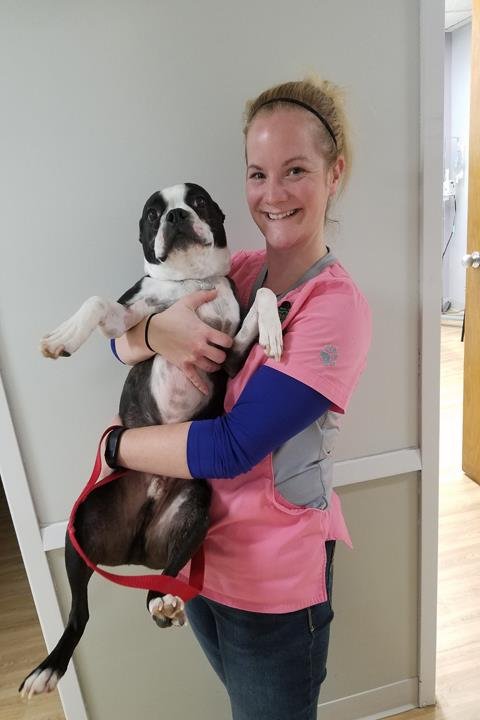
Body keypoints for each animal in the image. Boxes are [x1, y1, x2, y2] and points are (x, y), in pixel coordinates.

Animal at [19, 182, 283, 698]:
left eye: (197, 202)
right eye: (152, 214)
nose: (177, 216)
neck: (188, 284)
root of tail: (137, 549)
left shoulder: (229, 356)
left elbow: (263, 290)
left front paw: (274, 327)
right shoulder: (133, 319)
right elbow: (98, 301)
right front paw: (63, 337)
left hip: (194, 511)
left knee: (163, 581)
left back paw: (163, 601)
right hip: (81, 525)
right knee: (78, 614)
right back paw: (49, 667)